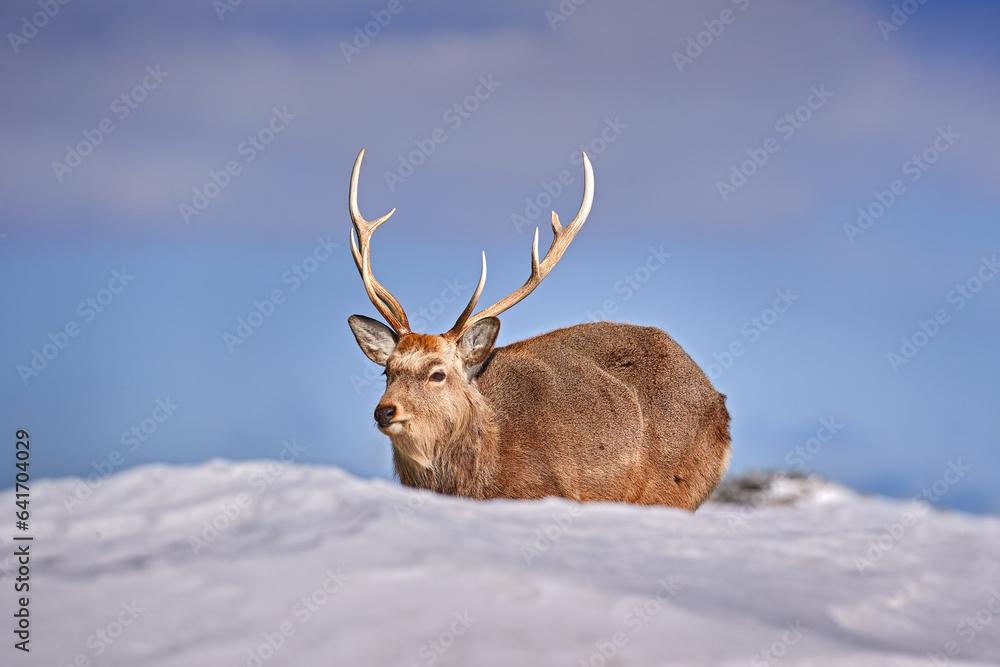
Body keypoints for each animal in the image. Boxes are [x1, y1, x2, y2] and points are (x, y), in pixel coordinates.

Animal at [348, 149, 732, 508]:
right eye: (387, 371)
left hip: (675, 486)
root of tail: (717, 399)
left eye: (438, 373)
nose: (385, 411)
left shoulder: (547, 491)